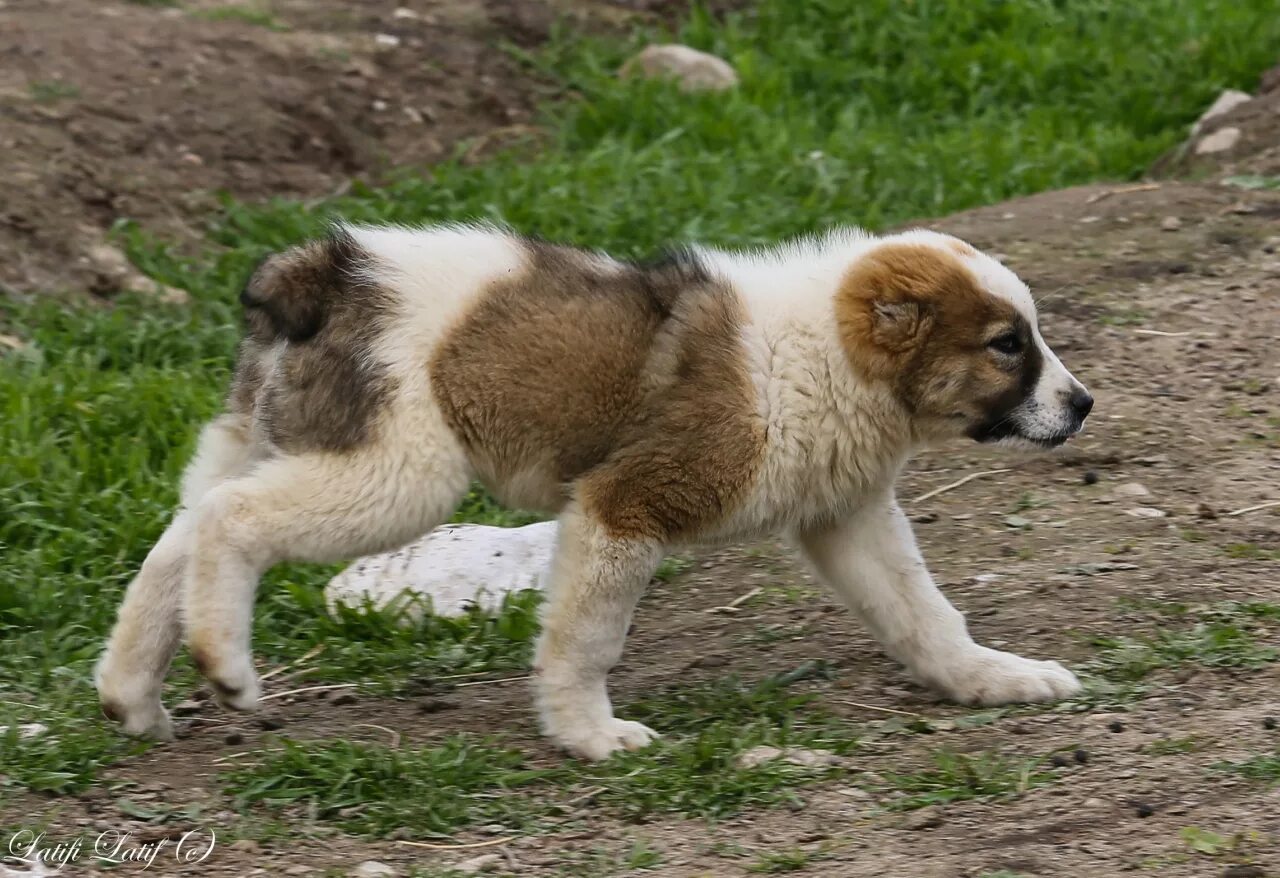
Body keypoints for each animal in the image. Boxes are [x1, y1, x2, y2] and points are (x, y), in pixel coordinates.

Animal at [97, 223, 1090, 757]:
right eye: (1007, 344)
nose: (1082, 404)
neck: (828, 354)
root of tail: (324, 273)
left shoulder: (847, 518)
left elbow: (925, 613)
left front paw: (990, 678)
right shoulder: (625, 505)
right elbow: (586, 639)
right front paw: (588, 734)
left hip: (271, 444)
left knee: (177, 539)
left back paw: (131, 694)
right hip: (396, 478)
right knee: (230, 522)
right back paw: (226, 663)